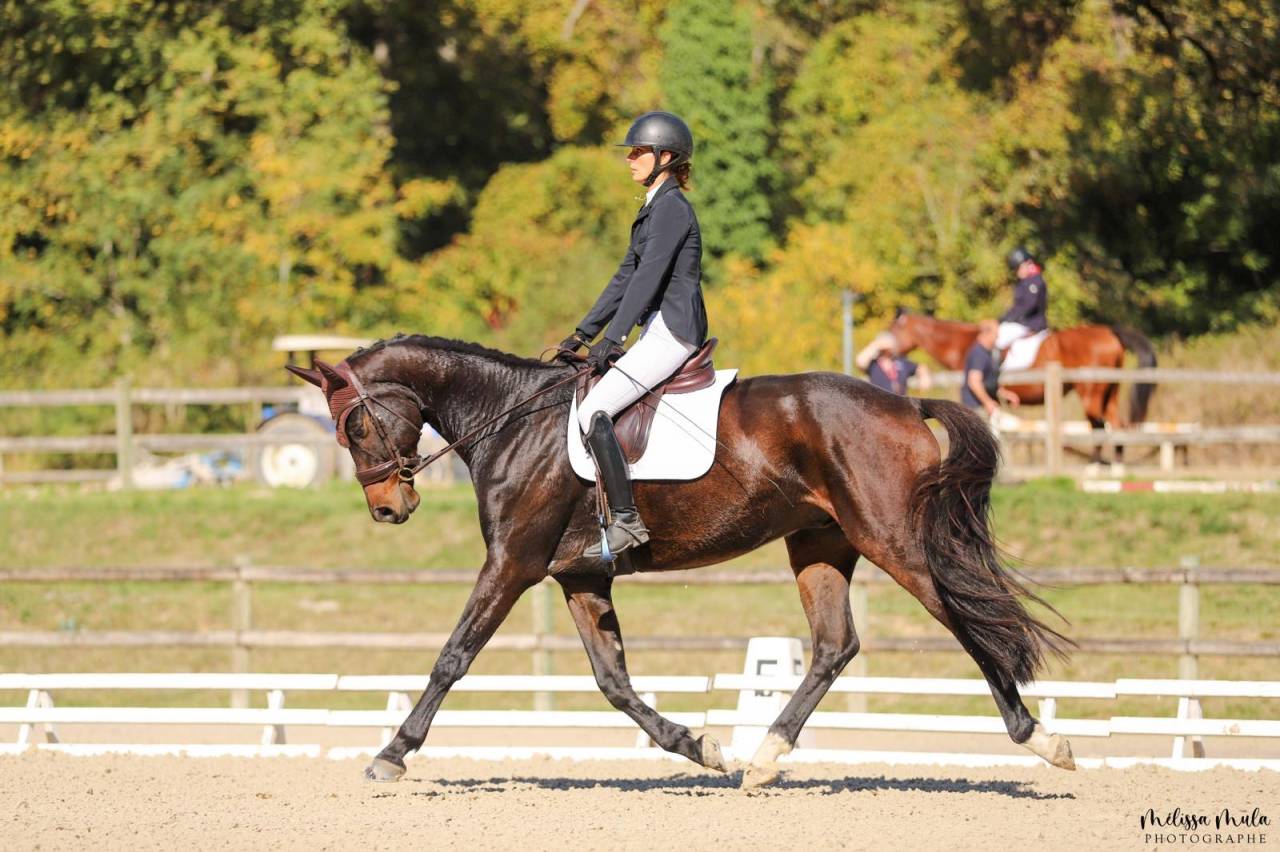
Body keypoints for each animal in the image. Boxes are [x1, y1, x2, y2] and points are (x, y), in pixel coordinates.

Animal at [286, 334, 1076, 788]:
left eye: (354, 425)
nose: (389, 509)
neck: (512, 421)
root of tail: (905, 403)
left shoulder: (512, 563)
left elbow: (453, 657)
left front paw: (392, 753)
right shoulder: (580, 574)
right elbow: (614, 683)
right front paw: (701, 748)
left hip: (892, 538)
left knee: (966, 620)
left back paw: (1042, 740)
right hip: (821, 542)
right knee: (834, 644)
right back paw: (764, 758)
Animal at [889, 312, 1157, 463]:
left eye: (894, 329)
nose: (883, 351)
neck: (967, 342)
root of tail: (1109, 332)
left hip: (1090, 392)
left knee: (1098, 425)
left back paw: (1095, 466)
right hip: (1110, 392)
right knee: (1116, 424)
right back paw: (1116, 467)